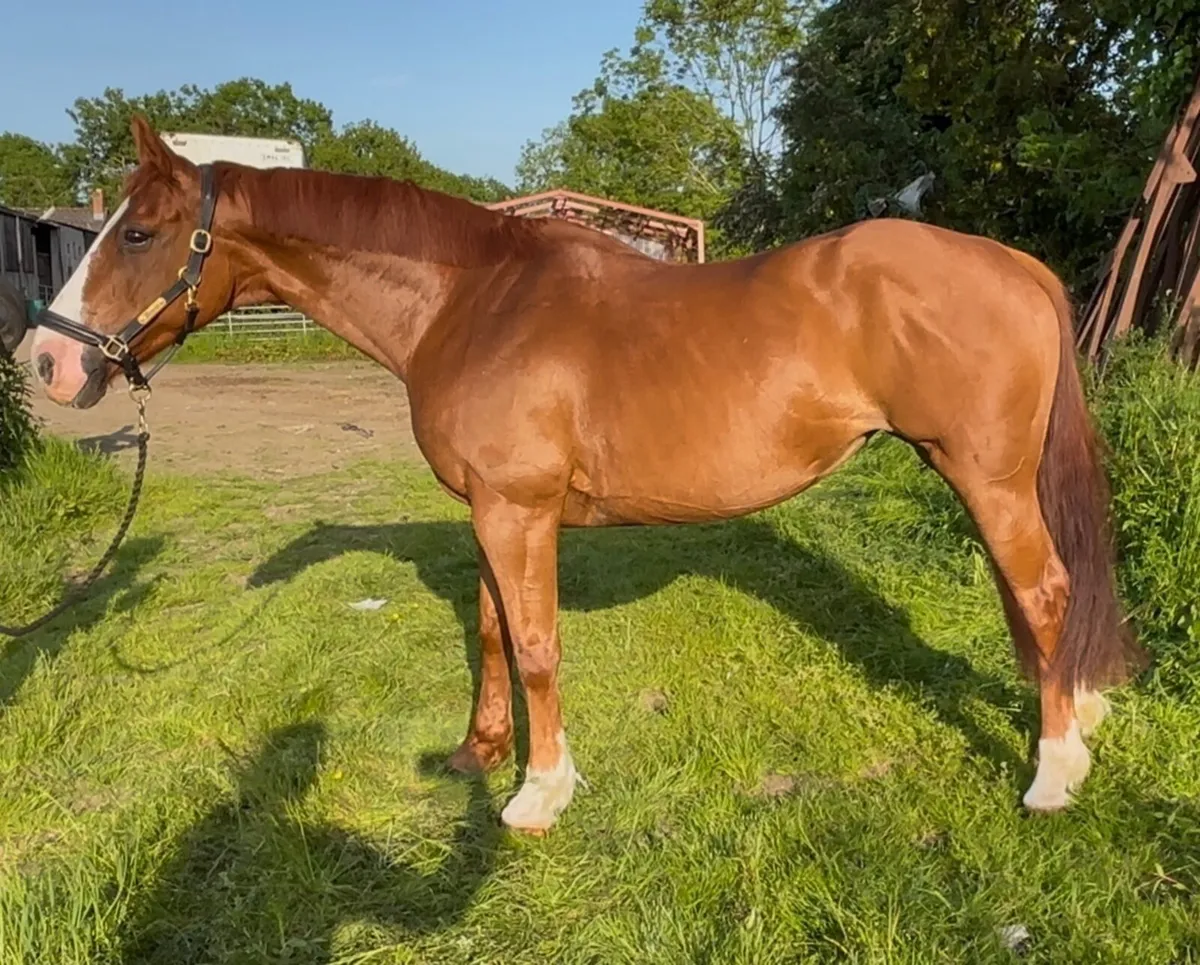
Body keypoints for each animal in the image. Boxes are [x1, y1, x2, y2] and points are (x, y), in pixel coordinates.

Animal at [30, 115, 1143, 833]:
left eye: (139, 231)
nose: (46, 361)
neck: (472, 300)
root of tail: (1014, 263)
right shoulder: (486, 510)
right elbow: (490, 630)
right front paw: (476, 754)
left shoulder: (518, 510)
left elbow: (533, 644)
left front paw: (537, 792)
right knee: (1031, 593)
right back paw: (1074, 714)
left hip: (985, 476)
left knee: (1044, 589)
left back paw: (1054, 772)